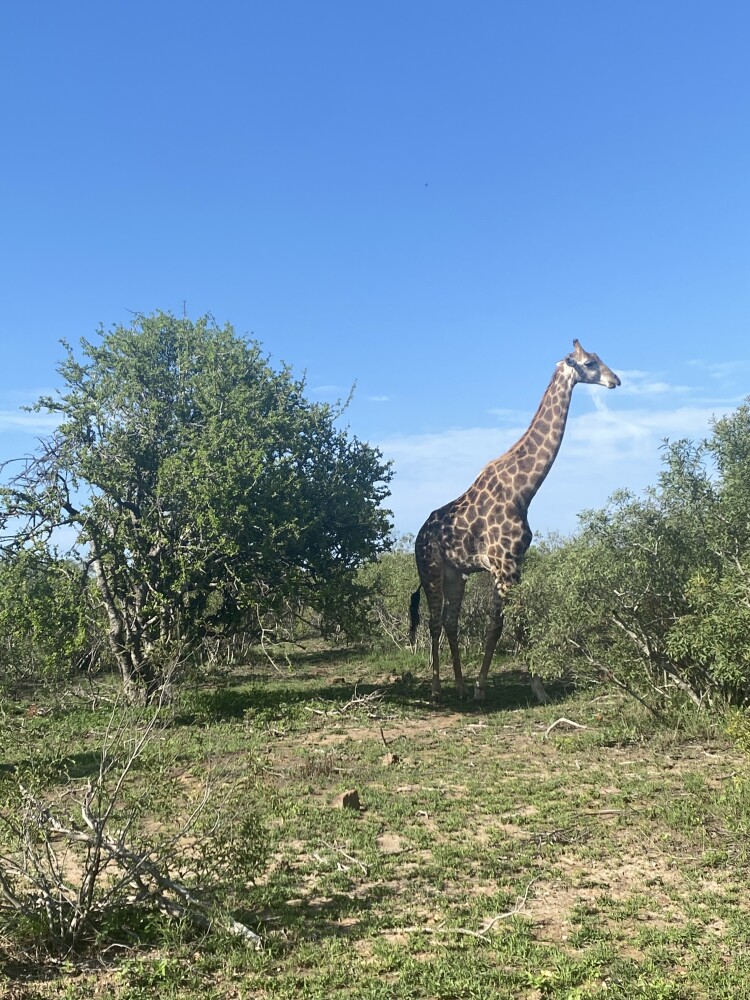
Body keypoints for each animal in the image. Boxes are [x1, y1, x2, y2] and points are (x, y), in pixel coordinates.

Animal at [409, 339, 620, 703]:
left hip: (456, 576)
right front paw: (533, 690)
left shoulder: (512, 564)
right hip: (431, 569)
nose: (615, 380)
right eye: (591, 363)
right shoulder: (506, 565)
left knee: (451, 622)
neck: (523, 490)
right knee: (434, 622)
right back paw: (437, 690)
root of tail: (419, 535)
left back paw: (459, 686)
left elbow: (502, 624)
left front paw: (481, 687)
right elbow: (508, 624)